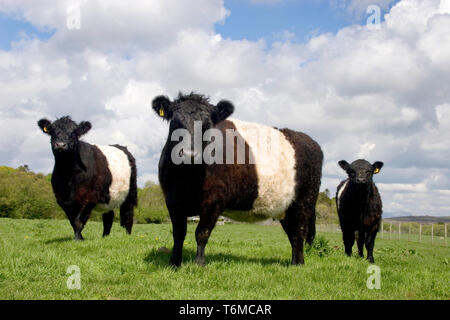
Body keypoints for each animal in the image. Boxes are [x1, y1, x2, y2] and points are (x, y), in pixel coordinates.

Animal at [153, 93, 322, 268]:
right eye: (175, 122)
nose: (190, 154)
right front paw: (174, 263)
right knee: (293, 234)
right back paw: (294, 263)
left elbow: (202, 233)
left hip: (304, 201)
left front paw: (199, 264)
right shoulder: (172, 200)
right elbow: (178, 234)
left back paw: (298, 264)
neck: (187, 178)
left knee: (299, 231)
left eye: (207, 125)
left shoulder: (214, 200)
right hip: (285, 207)